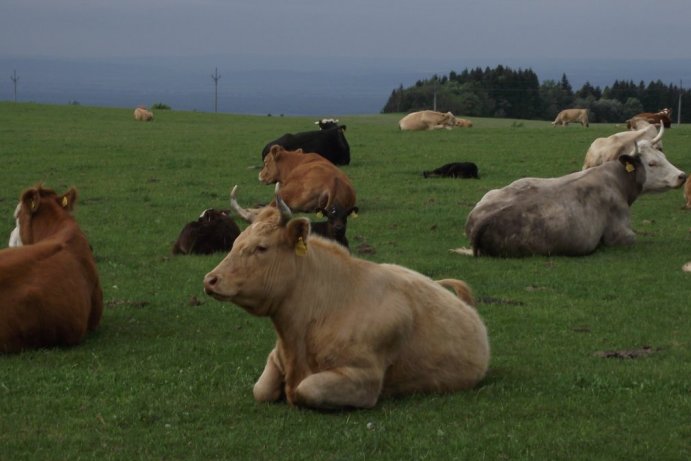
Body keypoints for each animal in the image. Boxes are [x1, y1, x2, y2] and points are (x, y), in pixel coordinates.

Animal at [205, 183, 492, 410]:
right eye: (236, 242)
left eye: (262, 247)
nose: (211, 280)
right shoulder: (276, 357)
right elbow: (261, 390)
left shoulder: (363, 378)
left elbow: (306, 389)